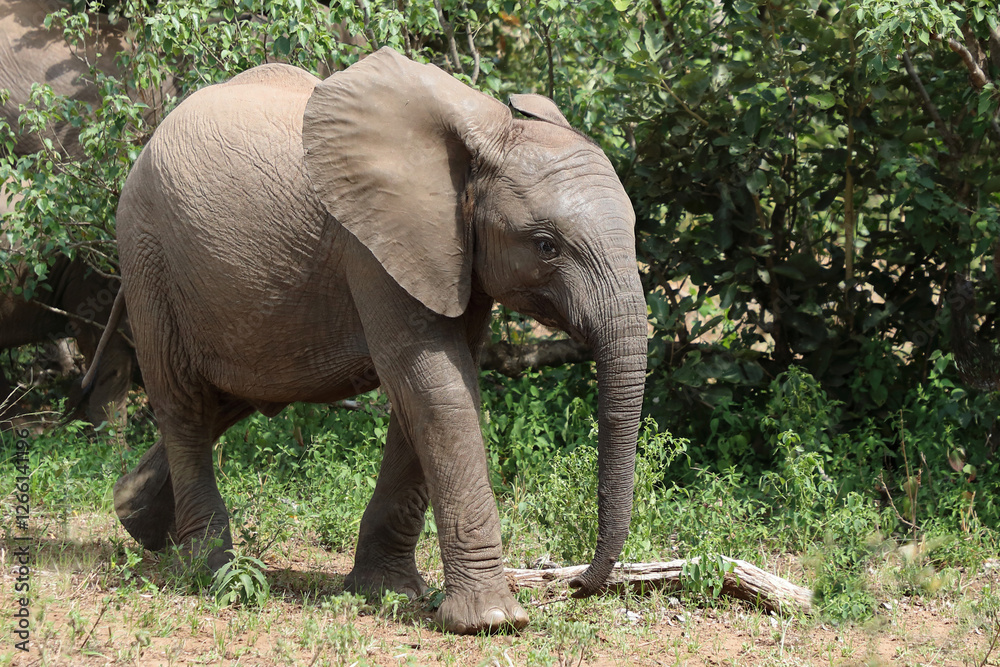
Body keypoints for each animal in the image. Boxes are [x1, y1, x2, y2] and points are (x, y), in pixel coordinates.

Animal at [101, 47, 647, 633]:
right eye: (546, 245)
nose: (575, 584)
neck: (488, 134)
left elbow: (431, 393)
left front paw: (388, 592)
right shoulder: (371, 244)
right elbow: (435, 386)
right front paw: (493, 621)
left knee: (232, 397)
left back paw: (135, 520)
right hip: (147, 255)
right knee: (184, 402)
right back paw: (208, 571)